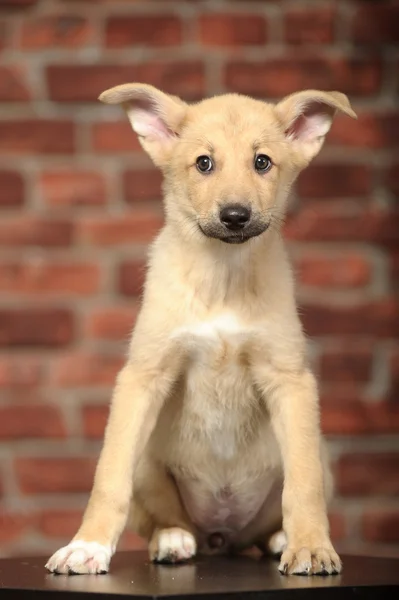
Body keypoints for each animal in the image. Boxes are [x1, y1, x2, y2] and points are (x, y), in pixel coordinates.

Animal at [45, 84, 358, 576]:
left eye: (262, 162)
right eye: (204, 163)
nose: (235, 215)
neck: (222, 278)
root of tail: (221, 536)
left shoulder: (291, 381)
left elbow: (302, 484)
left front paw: (310, 545)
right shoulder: (142, 377)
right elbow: (108, 477)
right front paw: (87, 545)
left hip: (320, 454)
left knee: (280, 507)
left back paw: (281, 539)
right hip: (148, 462)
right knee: (164, 517)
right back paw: (172, 539)